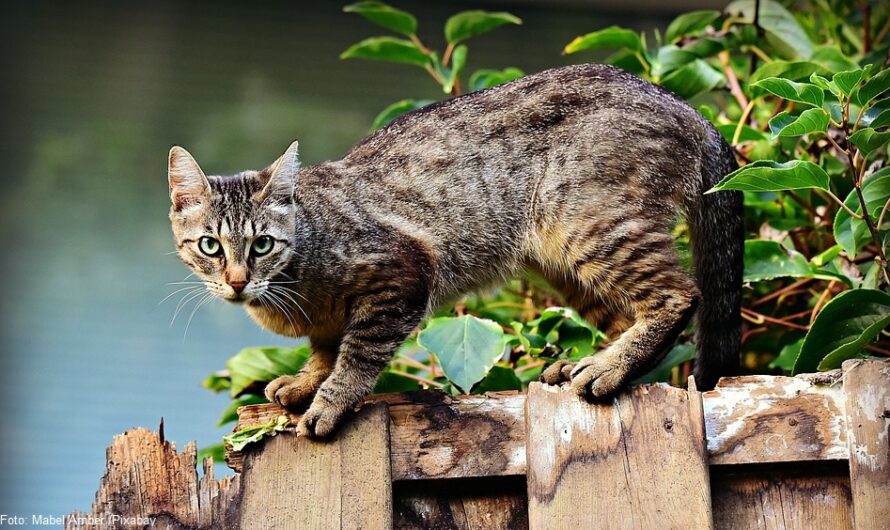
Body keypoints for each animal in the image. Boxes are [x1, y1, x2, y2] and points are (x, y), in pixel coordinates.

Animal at [168, 63, 744, 438]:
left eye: (262, 244)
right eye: (210, 246)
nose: (237, 281)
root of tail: (686, 107)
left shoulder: (402, 275)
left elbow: (356, 354)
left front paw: (330, 400)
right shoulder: (330, 321)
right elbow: (325, 349)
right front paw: (308, 381)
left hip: (590, 225)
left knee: (679, 296)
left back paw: (608, 368)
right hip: (562, 262)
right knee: (629, 315)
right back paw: (591, 363)